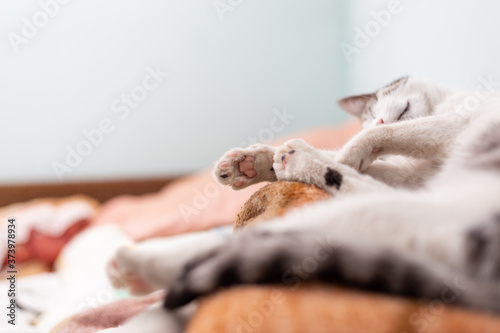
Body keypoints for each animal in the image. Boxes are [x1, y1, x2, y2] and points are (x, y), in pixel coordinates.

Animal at [100, 77, 500, 332]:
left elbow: (376, 140)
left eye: (375, 105)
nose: (379, 116)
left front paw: (344, 151)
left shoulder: (456, 124)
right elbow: (370, 158)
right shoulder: (416, 173)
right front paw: (253, 163)